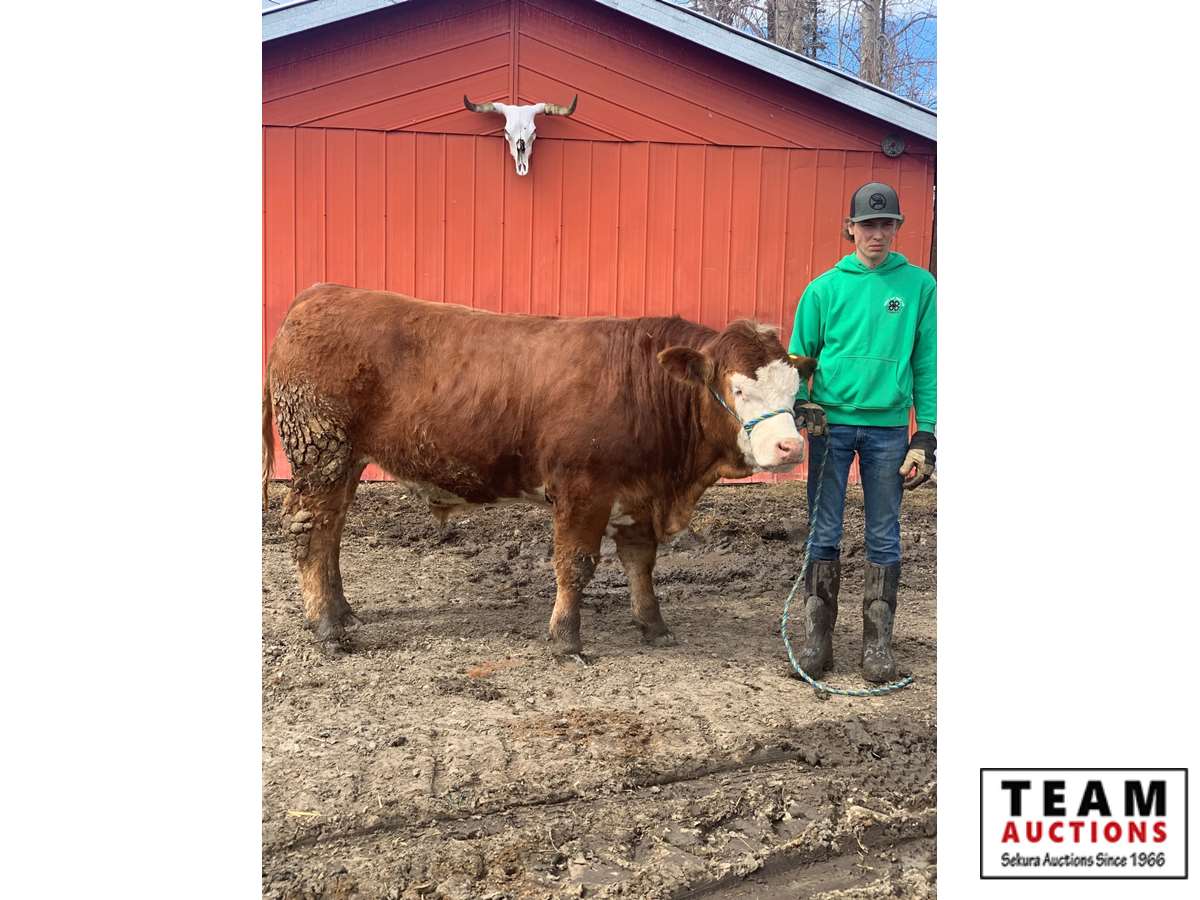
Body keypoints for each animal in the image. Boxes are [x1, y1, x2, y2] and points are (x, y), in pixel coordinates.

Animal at [262, 284, 817, 659]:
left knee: (331, 532)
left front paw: (654, 626)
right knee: (311, 531)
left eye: (795, 391)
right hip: (322, 452)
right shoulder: (582, 488)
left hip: (344, 461)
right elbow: (575, 564)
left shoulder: (637, 494)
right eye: (738, 388)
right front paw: (566, 640)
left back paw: (340, 611)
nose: (791, 446)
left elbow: (640, 564)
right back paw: (329, 629)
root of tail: (319, 294)